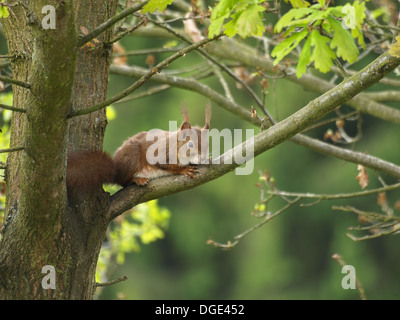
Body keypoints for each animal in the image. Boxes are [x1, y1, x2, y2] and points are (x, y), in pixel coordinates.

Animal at [66, 105, 209, 190]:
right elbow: (167, 166)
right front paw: (184, 170)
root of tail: (116, 169)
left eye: (207, 144)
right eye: (190, 144)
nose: (203, 157)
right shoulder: (161, 153)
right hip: (131, 158)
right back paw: (137, 179)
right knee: (123, 181)